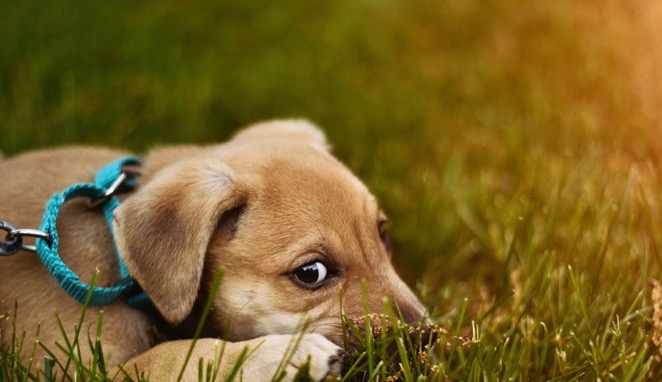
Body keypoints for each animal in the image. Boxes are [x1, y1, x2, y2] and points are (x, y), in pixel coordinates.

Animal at [0, 120, 426, 382]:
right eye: (312, 273)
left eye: (383, 233)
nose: (425, 337)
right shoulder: (82, 368)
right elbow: (174, 356)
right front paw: (281, 355)